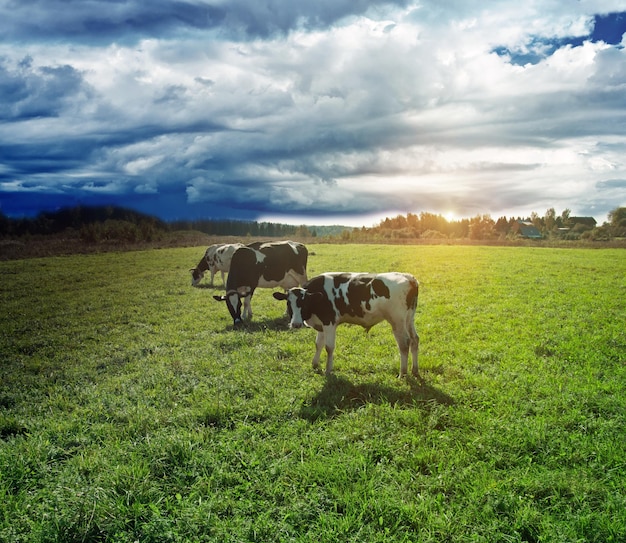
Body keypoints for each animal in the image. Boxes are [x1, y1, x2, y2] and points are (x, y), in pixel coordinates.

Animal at [272, 272, 420, 378]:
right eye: (288, 303)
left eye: (305, 302)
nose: (296, 324)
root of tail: (409, 278)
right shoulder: (321, 324)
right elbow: (318, 344)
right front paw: (315, 364)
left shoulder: (330, 322)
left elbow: (329, 347)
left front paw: (328, 370)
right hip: (409, 319)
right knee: (415, 340)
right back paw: (414, 370)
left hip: (397, 321)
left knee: (404, 344)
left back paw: (403, 374)